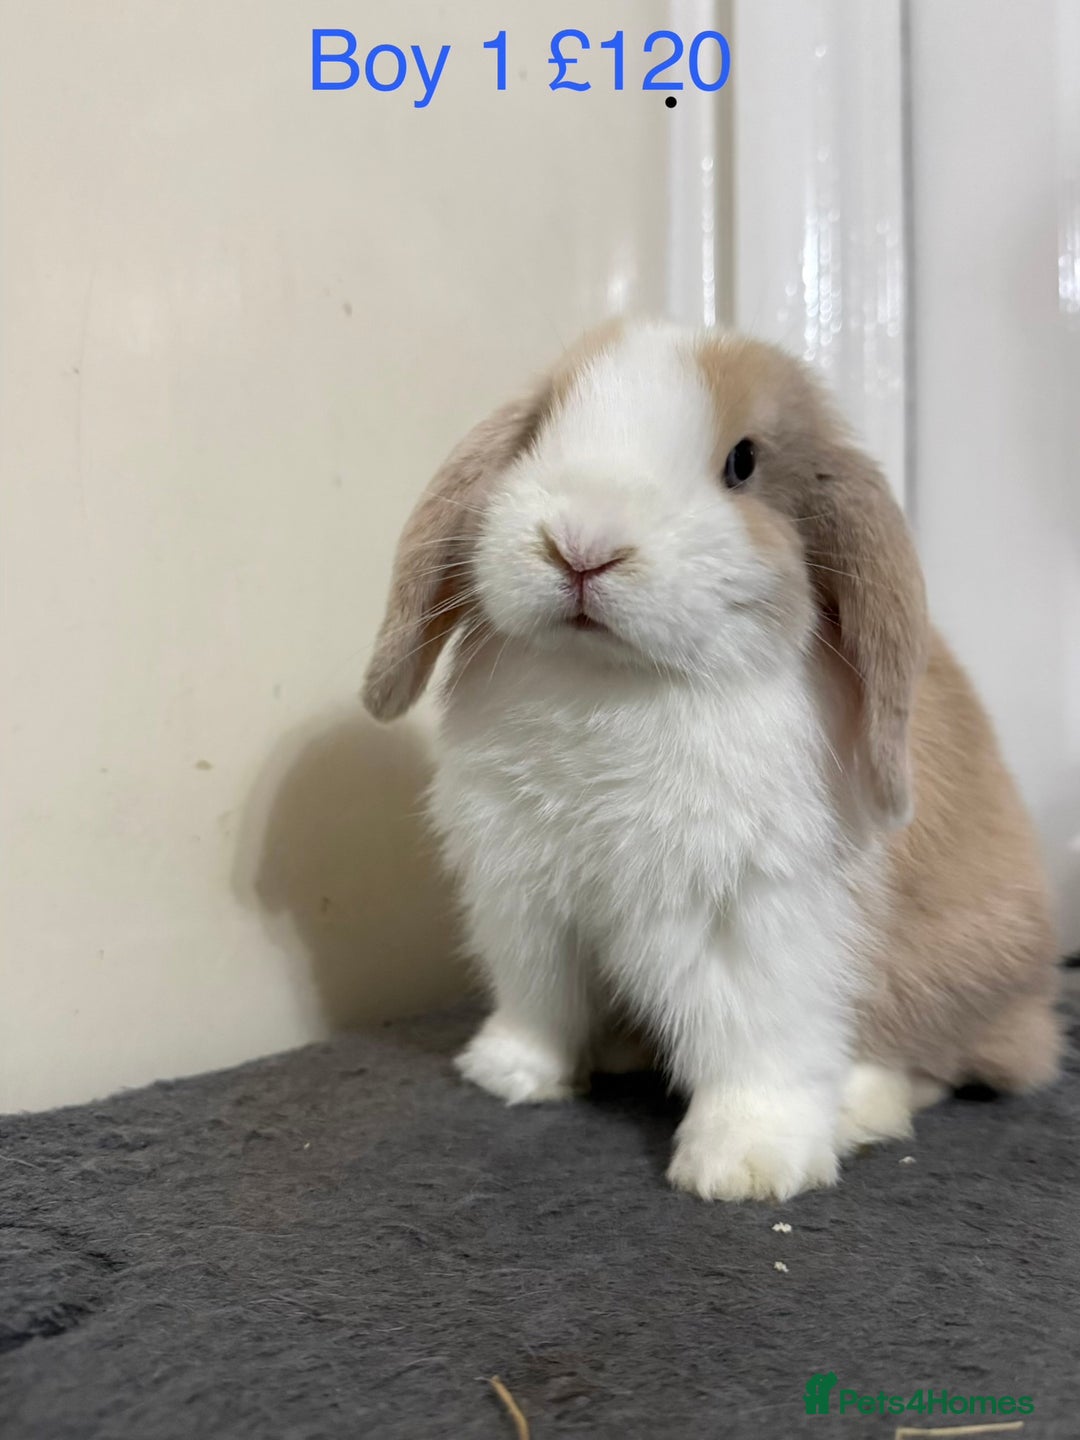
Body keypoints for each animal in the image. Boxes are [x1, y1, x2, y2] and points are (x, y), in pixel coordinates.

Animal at [362, 321, 1062, 1202]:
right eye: (536, 431)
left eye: (743, 462)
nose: (582, 548)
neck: (614, 683)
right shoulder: (524, 905)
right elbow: (542, 1003)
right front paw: (511, 1074)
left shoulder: (757, 918)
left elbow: (757, 1044)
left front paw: (745, 1168)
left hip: (958, 976)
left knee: (949, 1060)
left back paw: (859, 1108)